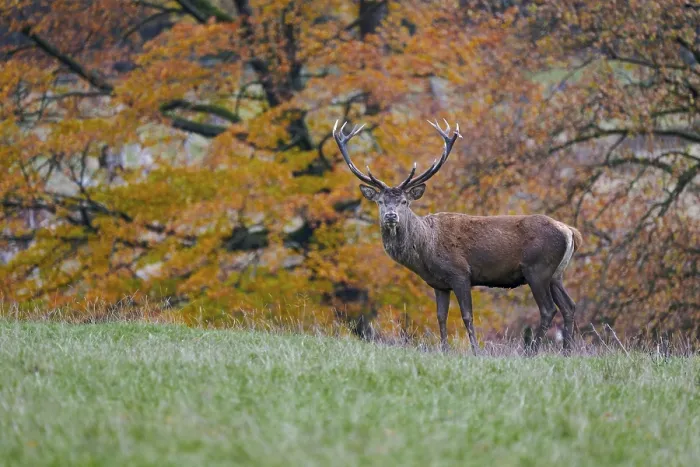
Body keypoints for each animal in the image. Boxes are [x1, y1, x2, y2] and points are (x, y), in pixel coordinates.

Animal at [333, 119, 582, 354]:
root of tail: (570, 231)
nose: (391, 216)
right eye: (380, 202)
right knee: (569, 306)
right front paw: (444, 350)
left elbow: (467, 316)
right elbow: (441, 317)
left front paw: (476, 352)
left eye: (404, 201)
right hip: (555, 274)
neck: (426, 250)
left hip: (537, 269)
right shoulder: (439, 284)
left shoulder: (460, 273)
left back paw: (531, 353)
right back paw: (567, 352)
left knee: (548, 309)